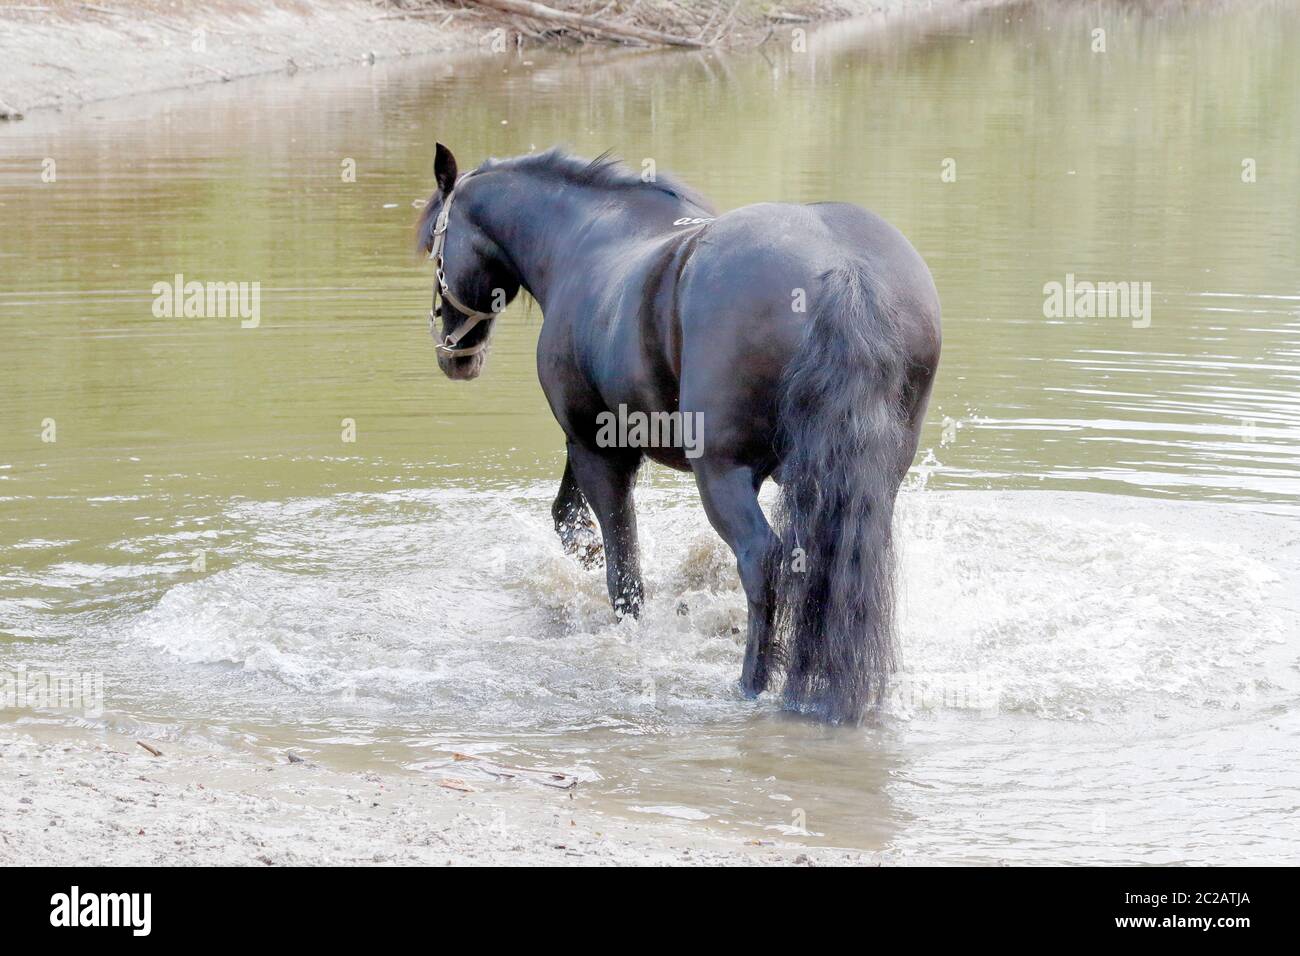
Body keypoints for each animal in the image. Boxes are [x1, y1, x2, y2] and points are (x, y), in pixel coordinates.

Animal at [417, 144, 941, 724]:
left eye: (436, 244)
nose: (454, 353)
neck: (584, 238)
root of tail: (844, 272)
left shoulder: (595, 447)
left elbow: (620, 567)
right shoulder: (597, 444)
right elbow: (569, 518)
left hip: (720, 473)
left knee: (761, 558)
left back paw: (752, 682)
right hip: (871, 477)